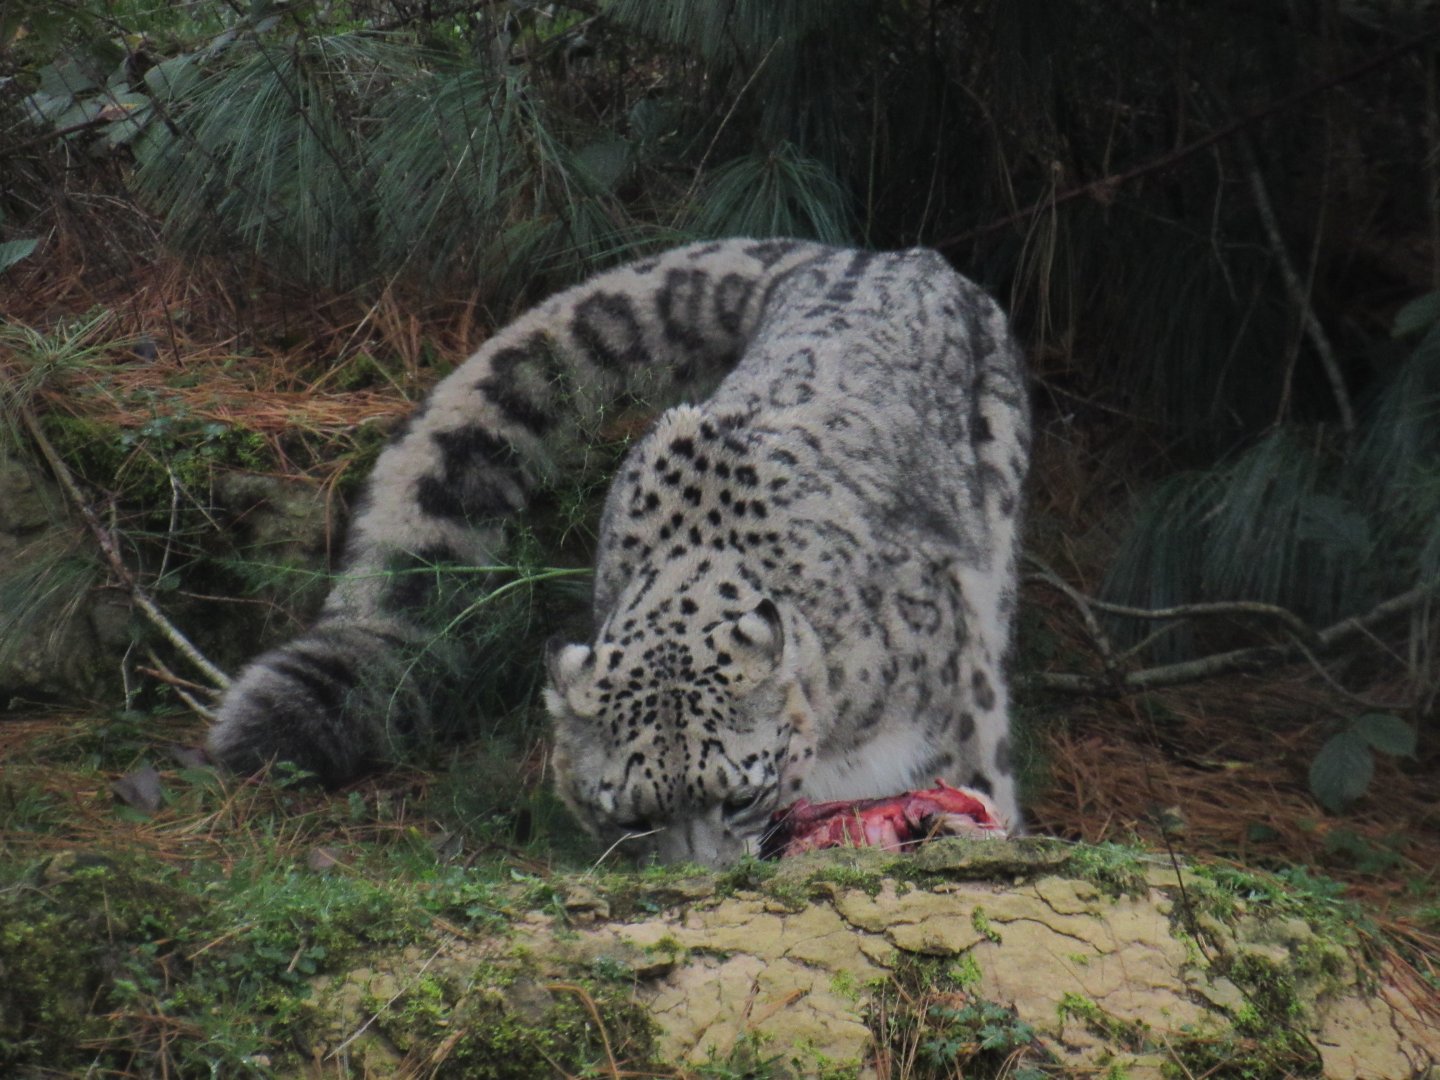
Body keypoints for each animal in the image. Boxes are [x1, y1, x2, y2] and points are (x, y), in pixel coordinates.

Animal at [206, 238, 1030, 866]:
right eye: (631, 817)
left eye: (741, 794)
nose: (703, 877)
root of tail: (860, 255)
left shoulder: (950, 715)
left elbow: (972, 770)